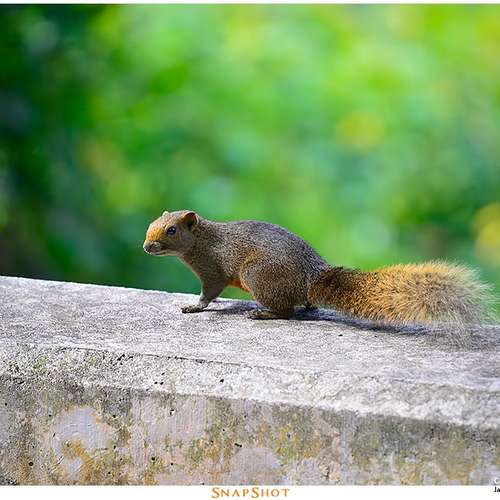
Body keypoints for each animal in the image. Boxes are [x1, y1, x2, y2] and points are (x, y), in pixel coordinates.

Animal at [143, 210, 494, 326]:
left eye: (171, 230)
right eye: (150, 226)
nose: (146, 247)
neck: (204, 240)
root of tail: (312, 275)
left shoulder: (213, 269)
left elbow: (209, 293)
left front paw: (194, 306)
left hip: (256, 274)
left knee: (287, 311)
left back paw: (263, 313)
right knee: (303, 304)